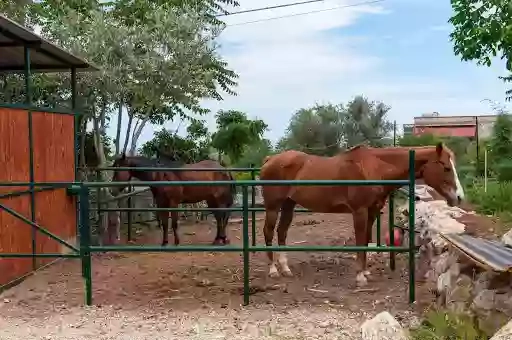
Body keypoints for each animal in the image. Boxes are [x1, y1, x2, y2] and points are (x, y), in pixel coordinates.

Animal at [260, 143, 464, 286]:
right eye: (446, 167)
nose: (459, 197)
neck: (375, 168)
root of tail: (269, 160)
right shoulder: (359, 211)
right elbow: (359, 241)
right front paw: (359, 277)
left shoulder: (372, 211)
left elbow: (365, 239)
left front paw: (365, 272)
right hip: (273, 206)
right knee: (268, 232)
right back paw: (272, 270)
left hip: (288, 205)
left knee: (282, 232)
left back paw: (285, 268)